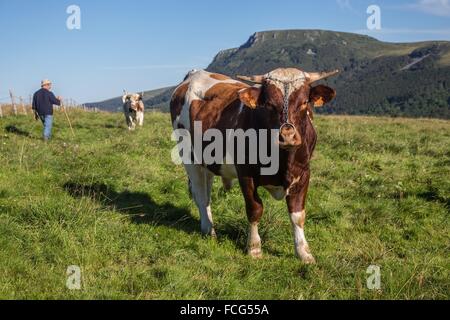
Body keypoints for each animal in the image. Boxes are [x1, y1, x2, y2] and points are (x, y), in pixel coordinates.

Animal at [170, 69, 338, 264]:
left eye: (304, 102)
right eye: (269, 104)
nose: (287, 136)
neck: (283, 161)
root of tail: (195, 73)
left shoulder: (303, 174)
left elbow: (297, 215)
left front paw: (303, 252)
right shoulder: (246, 174)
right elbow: (255, 209)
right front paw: (254, 248)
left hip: (208, 164)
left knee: (206, 194)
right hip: (189, 158)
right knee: (201, 196)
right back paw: (209, 231)